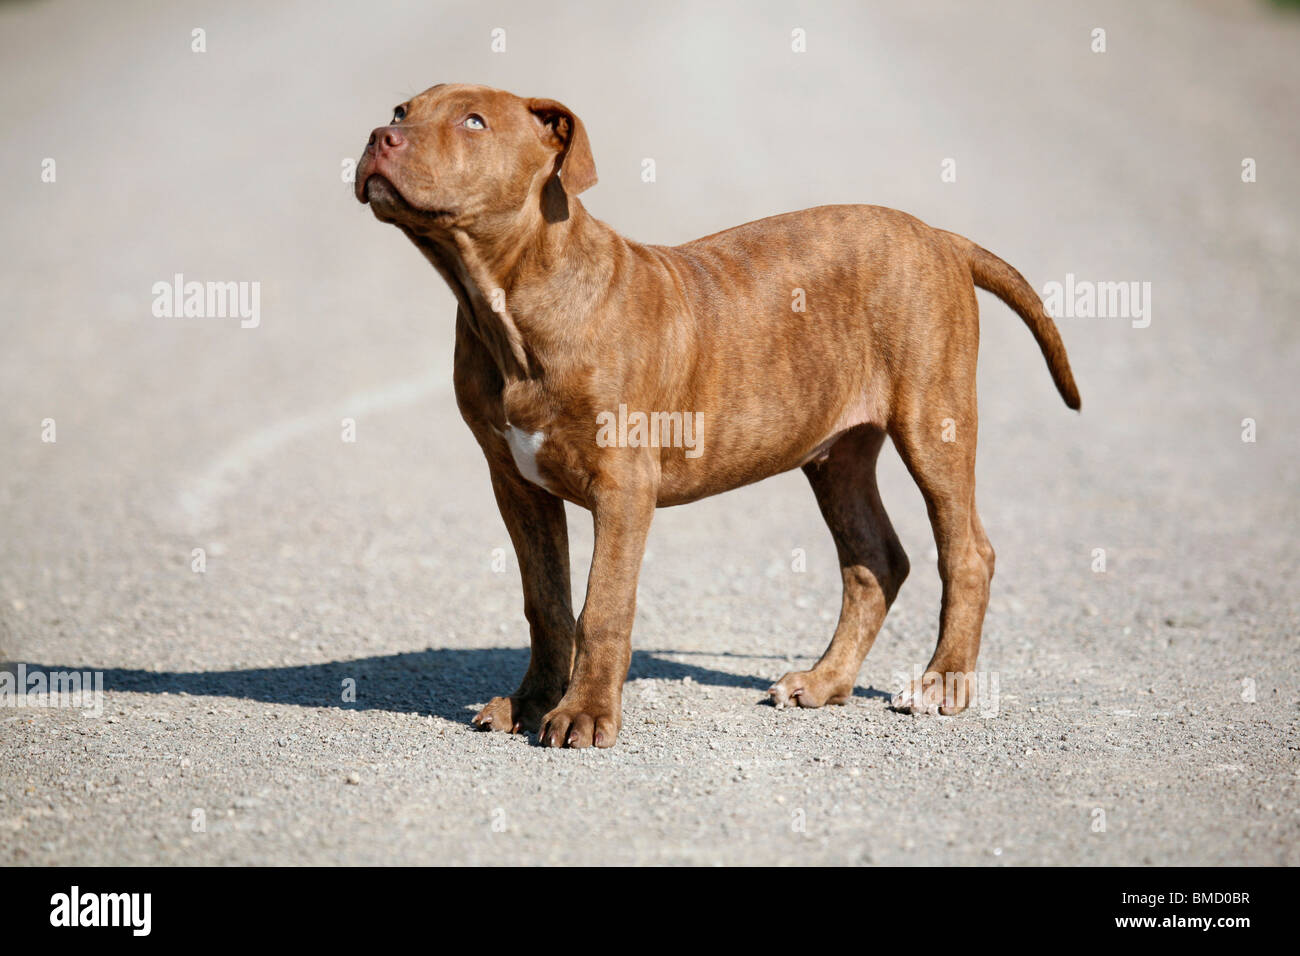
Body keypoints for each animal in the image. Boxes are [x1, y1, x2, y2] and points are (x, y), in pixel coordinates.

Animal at [353, 83, 1076, 749]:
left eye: (473, 122)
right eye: (399, 112)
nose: (378, 137)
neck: (506, 301)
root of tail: (941, 237)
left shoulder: (623, 484)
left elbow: (602, 605)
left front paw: (583, 713)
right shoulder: (516, 483)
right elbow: (547, 602)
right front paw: (531, 703)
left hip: (933, 421)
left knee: (967, 552)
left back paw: (942, 683)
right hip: (836, 453)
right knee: (876, 560)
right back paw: (824, 681)